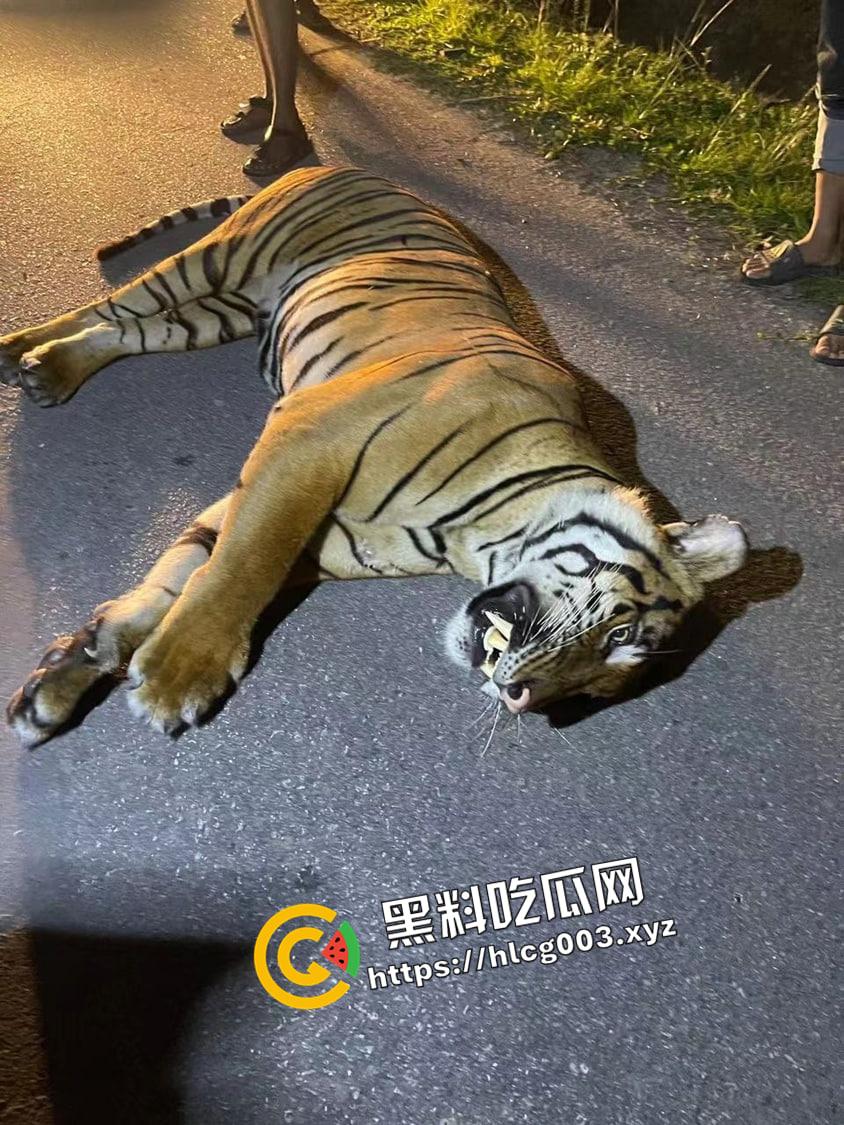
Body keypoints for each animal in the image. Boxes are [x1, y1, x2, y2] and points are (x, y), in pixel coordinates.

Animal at [1, 165, 748, 745]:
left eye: (593, 691)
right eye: (620, 633)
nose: (523, 700)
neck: (470, 538)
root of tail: (346, 166)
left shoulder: (316, 541)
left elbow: (182, 577)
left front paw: (63, 681)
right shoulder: (307, 442)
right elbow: (242, 569)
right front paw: (178, 676)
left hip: (220, 311)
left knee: (129, 330)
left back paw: (48, 370)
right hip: (219, 260)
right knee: (110, 304)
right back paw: (18, 350)